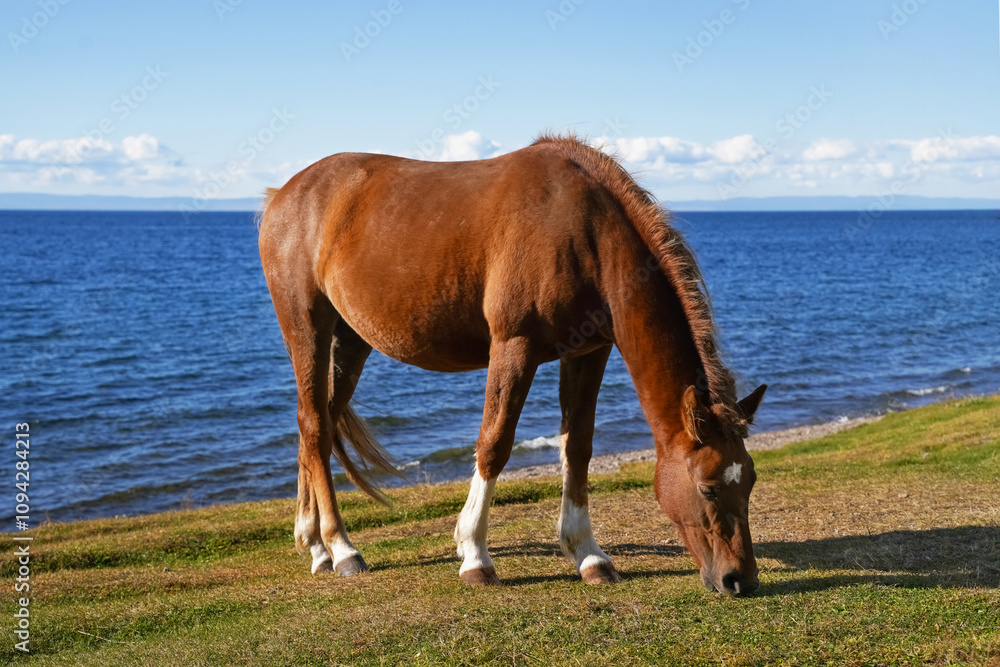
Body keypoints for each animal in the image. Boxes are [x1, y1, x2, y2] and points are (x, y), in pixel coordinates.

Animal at [258, 133, 767, 596]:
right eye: (707, 488)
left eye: (750, 481)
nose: (740, 579)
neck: (584, 230)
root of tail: (283, 194)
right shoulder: (513, 346)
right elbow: (494, 444)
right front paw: (474, 555)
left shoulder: (588, 352)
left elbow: (577, 447)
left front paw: (588, 554)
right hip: (307, 328)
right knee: (315, 425)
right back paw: (340, 548)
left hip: (349, 341)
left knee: (318, 427)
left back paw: (314, 542)